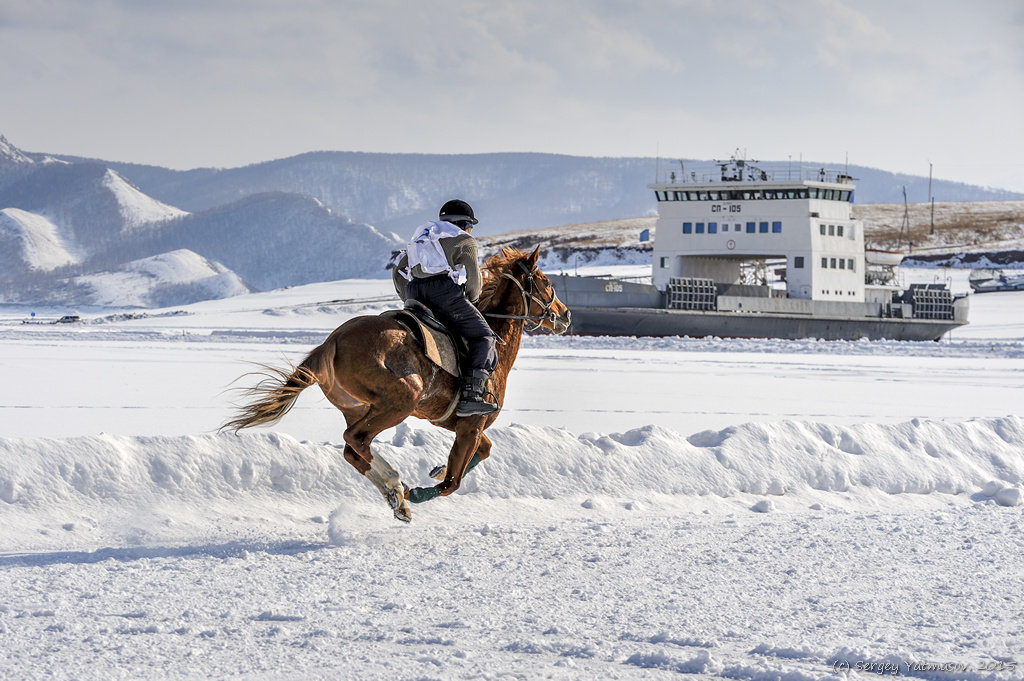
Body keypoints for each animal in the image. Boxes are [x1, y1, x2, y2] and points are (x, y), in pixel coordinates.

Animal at [221, 246, 573, 522]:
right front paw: (420, 488)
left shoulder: (458, 424)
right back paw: (396, 485)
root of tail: (331, 342)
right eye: (547, 282)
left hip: (360, 407)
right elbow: (453, 483)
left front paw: (435, 469)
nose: (566, 315)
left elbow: (481, 453)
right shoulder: (470, 425)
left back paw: (396, 499)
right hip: (401, 400)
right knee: (355, 440)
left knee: (352, 450)